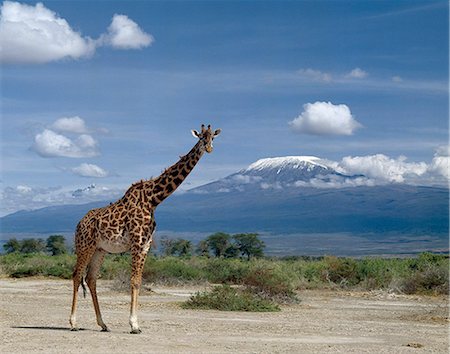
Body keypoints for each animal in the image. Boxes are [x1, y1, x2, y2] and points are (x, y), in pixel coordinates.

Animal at [69, 125, 221, 334]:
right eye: (200, 138)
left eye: (213, 137)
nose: (208, 148)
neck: (154, 199)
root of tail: (78, 223)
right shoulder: (137, 242)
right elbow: (133, 280)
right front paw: (134, 325)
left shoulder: (146, 244)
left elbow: (139, 281)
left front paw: (135, 323)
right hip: (85, 246)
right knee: (77, 276)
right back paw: (73, 323)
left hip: (100, 250)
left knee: (91, 279)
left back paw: (103, 324)